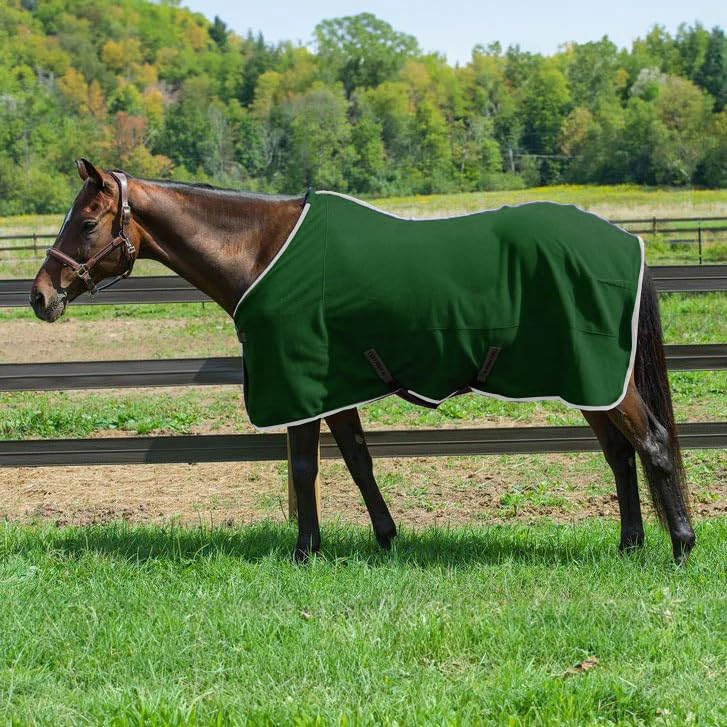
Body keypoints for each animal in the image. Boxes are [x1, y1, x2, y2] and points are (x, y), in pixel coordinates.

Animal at [30, 160, 696, 563]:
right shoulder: (332, 385)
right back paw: (630, 544)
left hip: (600, 377)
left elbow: (305, 468)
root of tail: (624, 241)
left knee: (652, 442)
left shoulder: (299, 382)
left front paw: (305, 551)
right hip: (588, 381)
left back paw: (681, 545)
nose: (40, 296)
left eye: (86, 222)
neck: (263, 250)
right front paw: (384, 537)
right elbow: (357, 461)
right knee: (619, 455)